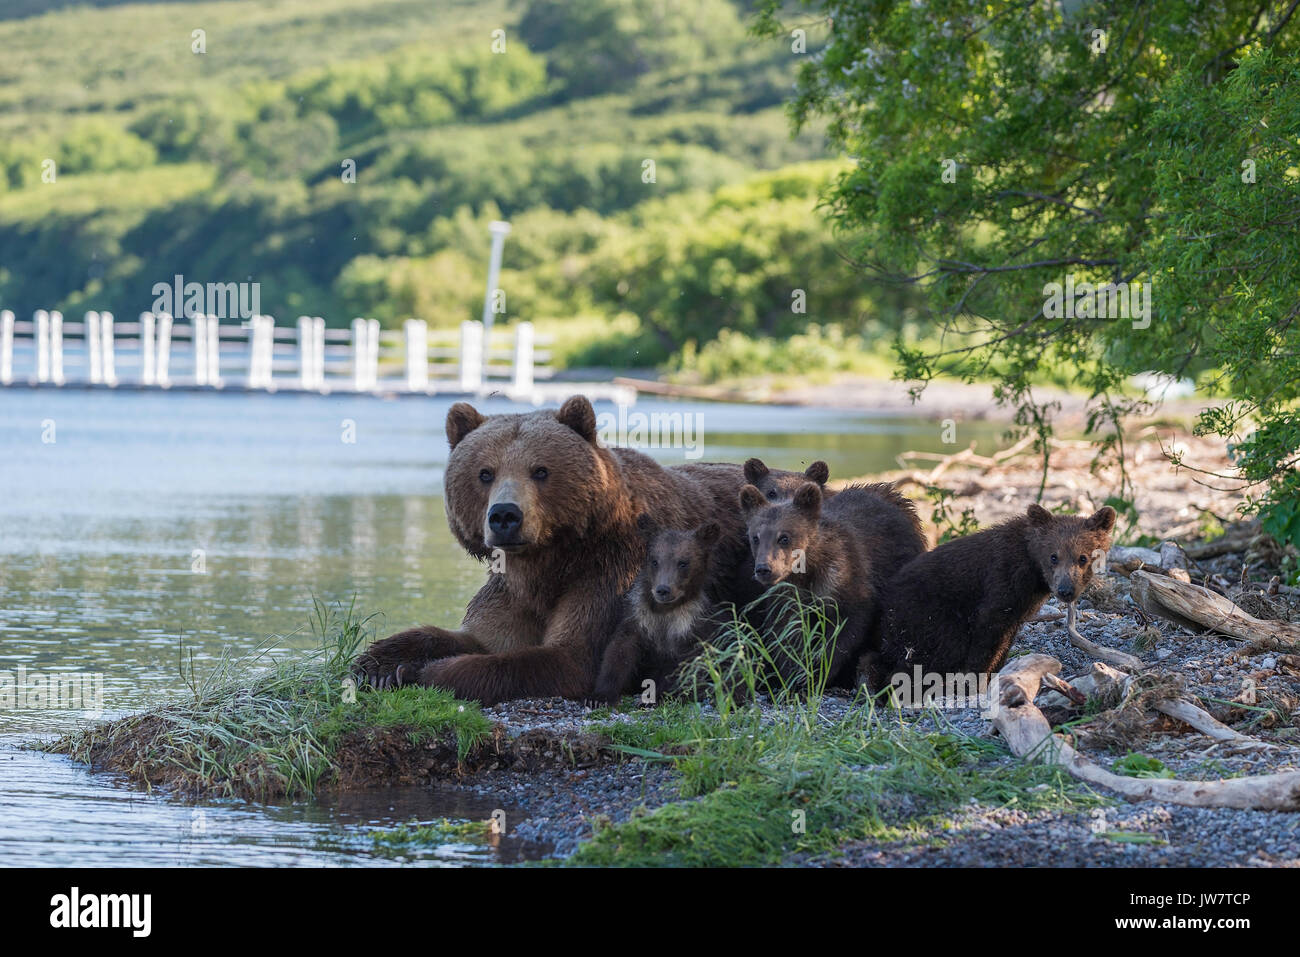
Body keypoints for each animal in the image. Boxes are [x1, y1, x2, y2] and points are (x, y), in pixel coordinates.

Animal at [351, 395, 764, 702]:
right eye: (485, 473)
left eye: (540, 470)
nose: (504, 515)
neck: (548, 560)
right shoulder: (511, 589)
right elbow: (479, 636)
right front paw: (378, 664)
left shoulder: (613, 574)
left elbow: (562, 658)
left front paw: (419, 672)